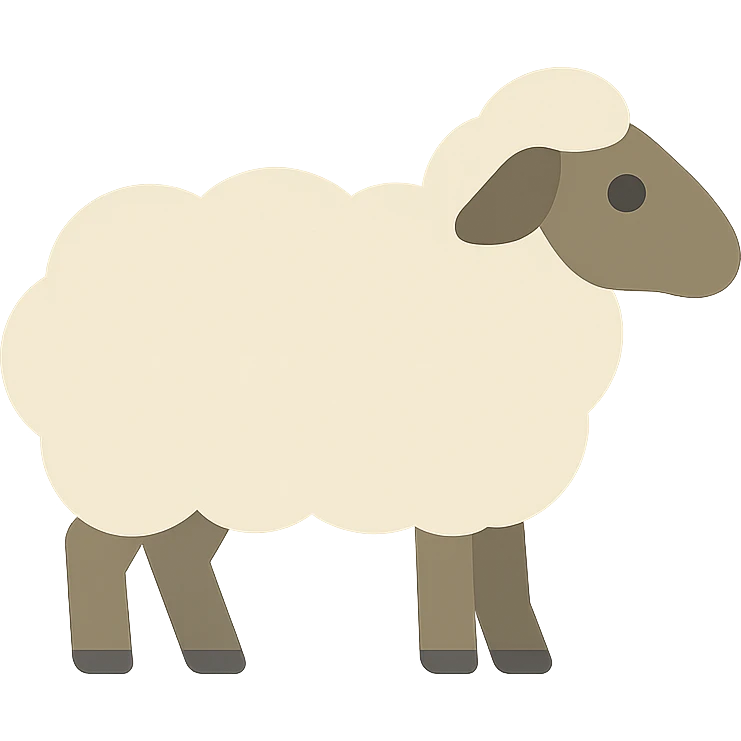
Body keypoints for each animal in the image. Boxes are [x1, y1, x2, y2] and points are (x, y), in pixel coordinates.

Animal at [1, 67, 738, 676]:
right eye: (625, 191)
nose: (728, 258)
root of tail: (49, 281)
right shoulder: (447, 477)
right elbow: (452, 575)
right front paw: (449, 662)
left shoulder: (499, 477)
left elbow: (503, 569)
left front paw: (528, 659)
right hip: (130, 460)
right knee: (94, 549)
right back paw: (106, 658)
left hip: (208, 470)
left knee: (172, 552)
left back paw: (219, 657)